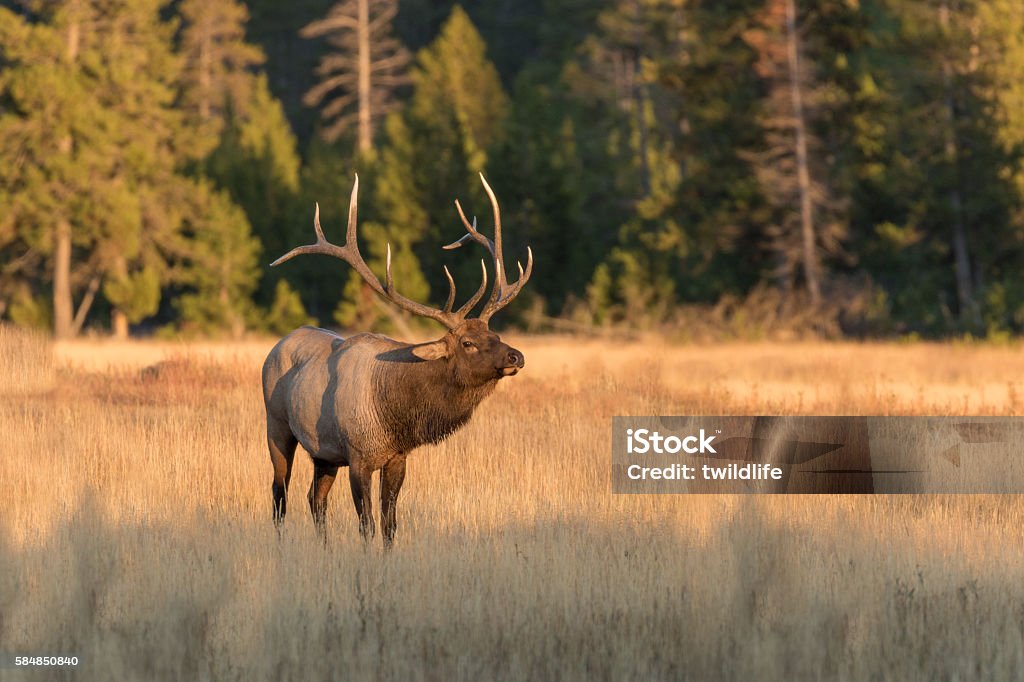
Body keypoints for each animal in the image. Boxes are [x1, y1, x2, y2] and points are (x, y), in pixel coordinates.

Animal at [260, 174, 532, 540]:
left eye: (496, 336)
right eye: (467, 343)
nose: (516, 356)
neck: (394, 415)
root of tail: (277, 345)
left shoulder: (397, 457)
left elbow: (390, 524)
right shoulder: (358, 456)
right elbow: (368, 524)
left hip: (323, 454)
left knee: (315, 500)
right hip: (277, 426)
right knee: (279, 494)